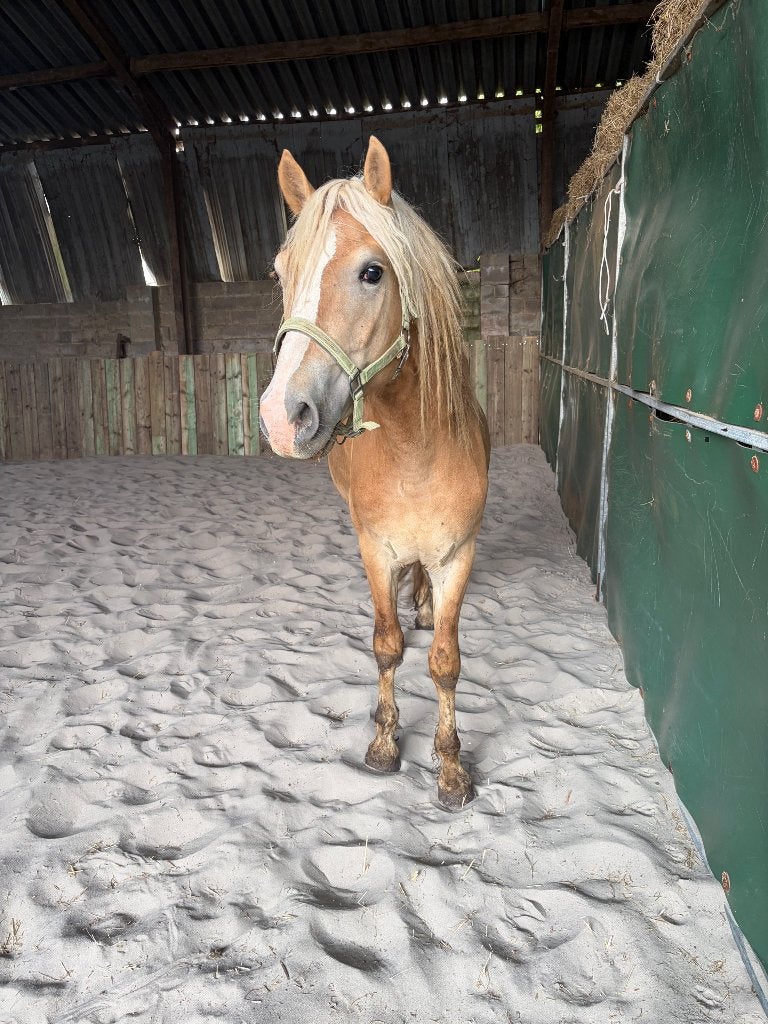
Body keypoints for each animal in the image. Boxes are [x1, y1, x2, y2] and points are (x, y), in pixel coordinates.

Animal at [259, 137, 490, 809]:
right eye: (281, 272)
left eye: (371, 272)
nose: (282, 416)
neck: (416, 454)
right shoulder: (374, 549)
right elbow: (386, 647)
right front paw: (386, 745)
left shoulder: (458, 555)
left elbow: (444, 661)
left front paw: (450, 769)